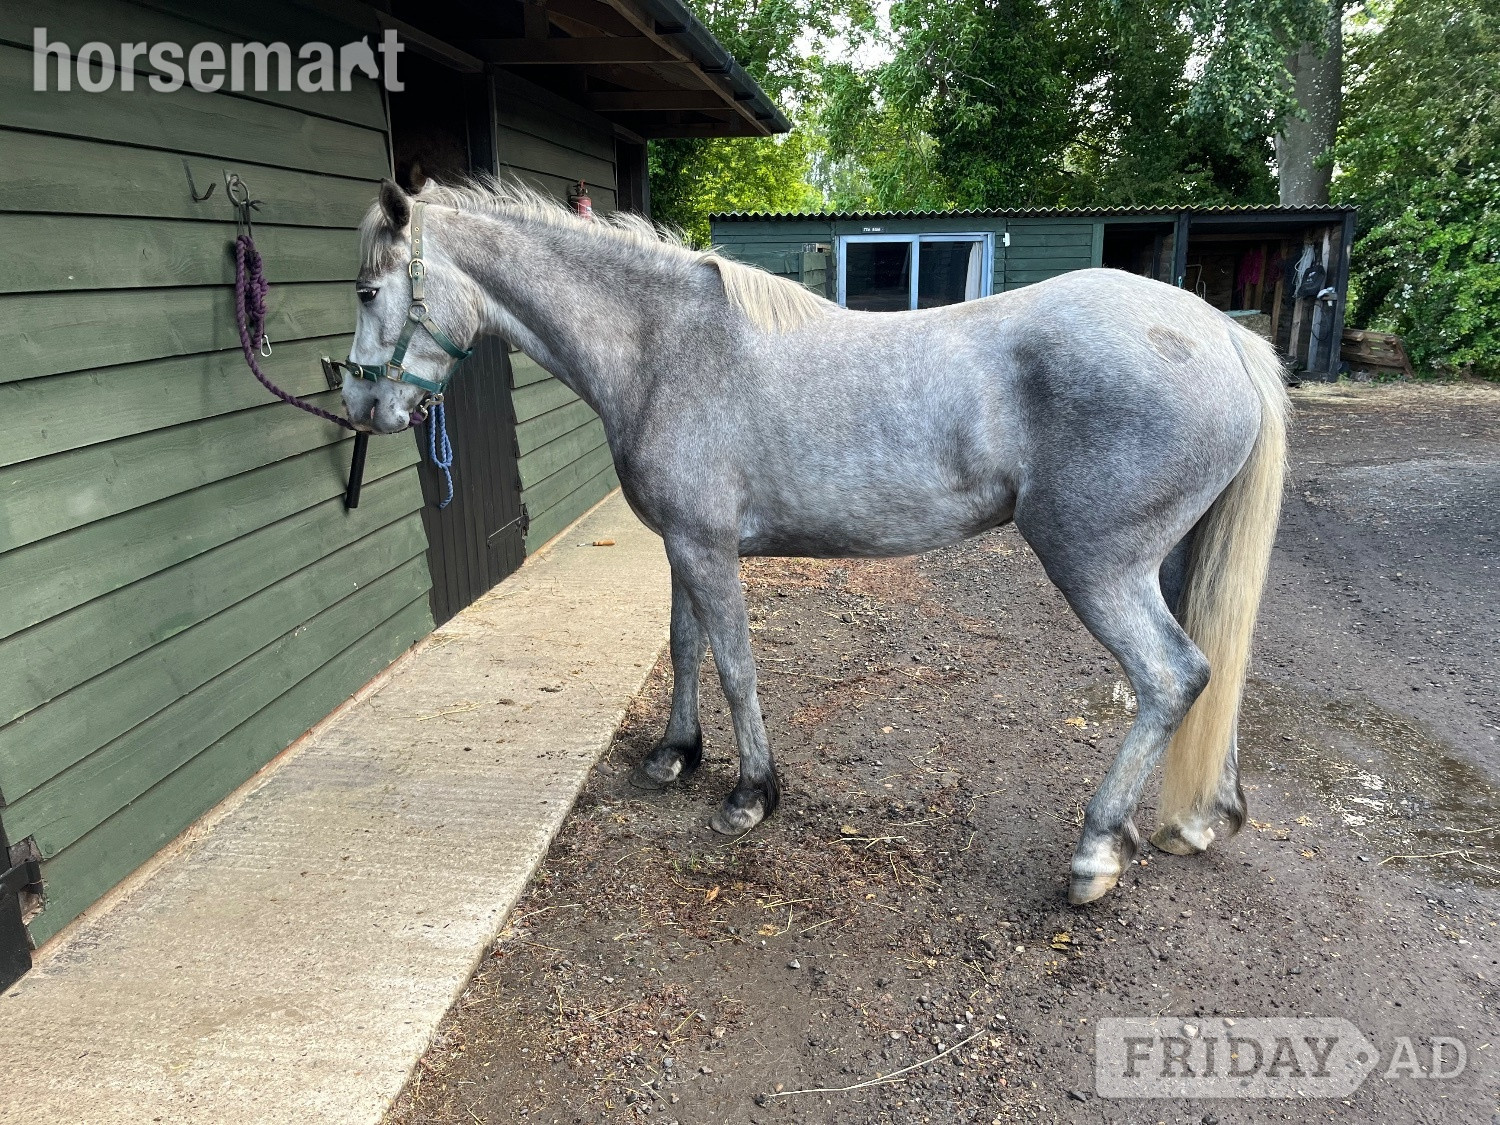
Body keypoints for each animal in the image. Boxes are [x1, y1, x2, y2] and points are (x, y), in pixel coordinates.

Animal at [339, 178, 1288, 905]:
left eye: (367, 291)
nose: (362, 408)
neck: (664, 347)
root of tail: (1223, 332)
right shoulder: (684, 546)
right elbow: (686, 649)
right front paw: (674, 755)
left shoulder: (707, 549)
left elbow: (734, 666)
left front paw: (751, 794)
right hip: (1171, 561)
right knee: (1214, 668)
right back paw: (1197, 819)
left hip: (1097, 565)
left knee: (1173, 676)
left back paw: (1095, 852)